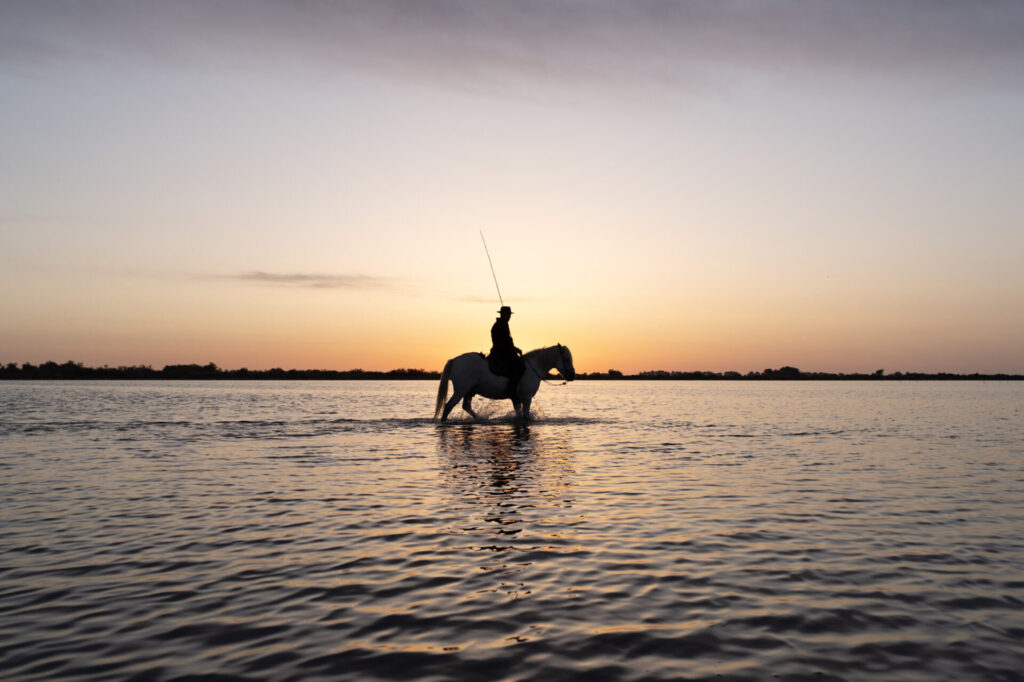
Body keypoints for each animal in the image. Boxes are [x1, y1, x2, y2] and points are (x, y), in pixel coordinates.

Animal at [434, 344, 575, 422]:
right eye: (567, 359)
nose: (572, 375)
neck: (533, 367)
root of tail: (454, 360)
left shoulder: (516, 399)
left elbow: (519, 415)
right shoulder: (527, 398)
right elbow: (526, 416)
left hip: (469, 392)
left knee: (466, 407)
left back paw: (480, 418)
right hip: (460, 391)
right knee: (448, 406)